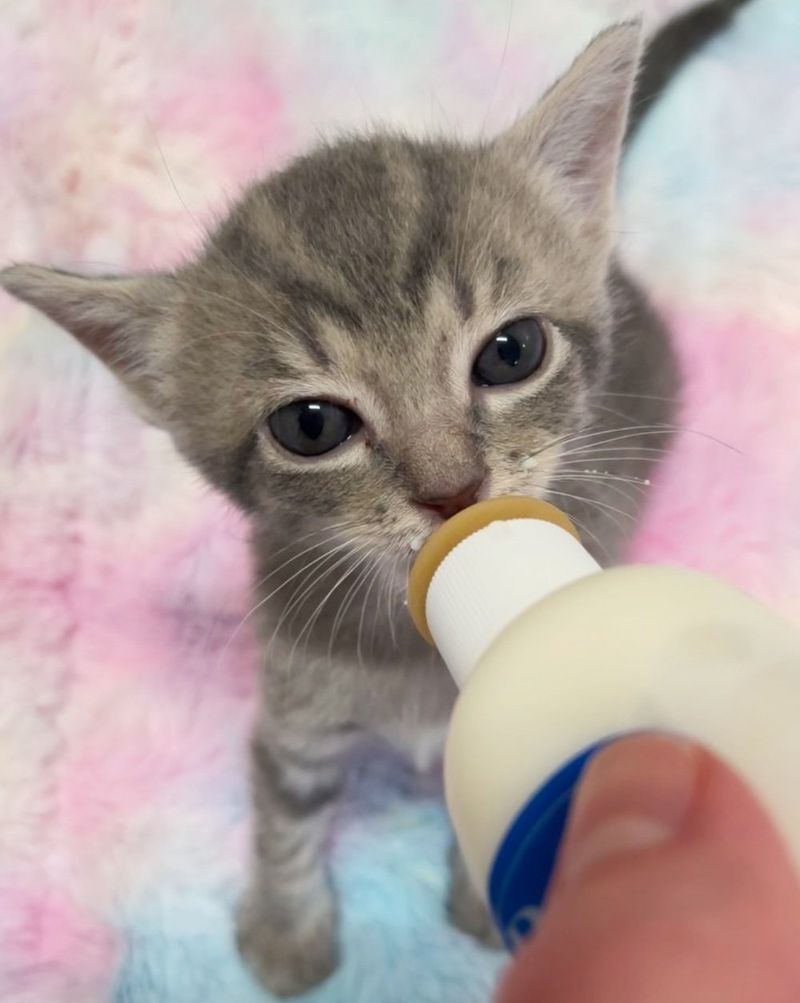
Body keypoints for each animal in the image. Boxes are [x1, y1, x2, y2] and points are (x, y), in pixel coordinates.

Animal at [0, 9, 741, 994]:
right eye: (311, 425)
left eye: (511, 351)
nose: (453, 489)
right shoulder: (292, 702)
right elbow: (284, 811)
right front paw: (286, 927)